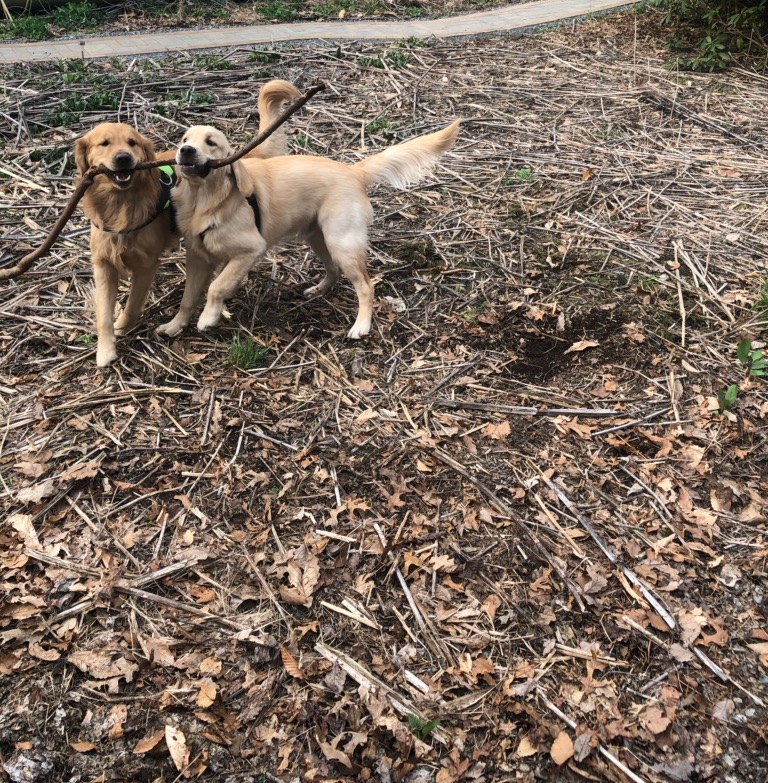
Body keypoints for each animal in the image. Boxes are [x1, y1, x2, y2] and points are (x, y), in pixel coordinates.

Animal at [76, 79, 300, 368]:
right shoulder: (103, 265)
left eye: (132, 143)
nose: (123, 157)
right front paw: (105, 349)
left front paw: (124, 326)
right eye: (104, 143)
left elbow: (133, 303)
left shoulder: (146, 265)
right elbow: (104, 312)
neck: (120, 205)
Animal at [153, 120, 460, 340]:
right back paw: (319, 290)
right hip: (317, 238)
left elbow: (216, 287)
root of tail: (354, 171)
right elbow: (188, 298)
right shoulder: (197, 259)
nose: (186, 151)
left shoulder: (249, 250)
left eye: (211, 143)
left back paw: (361, 325)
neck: (206, 200)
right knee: (333, 270)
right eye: (184, 140)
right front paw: (174, 325)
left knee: (366, 286)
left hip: (341, 243)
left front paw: (208, 317)